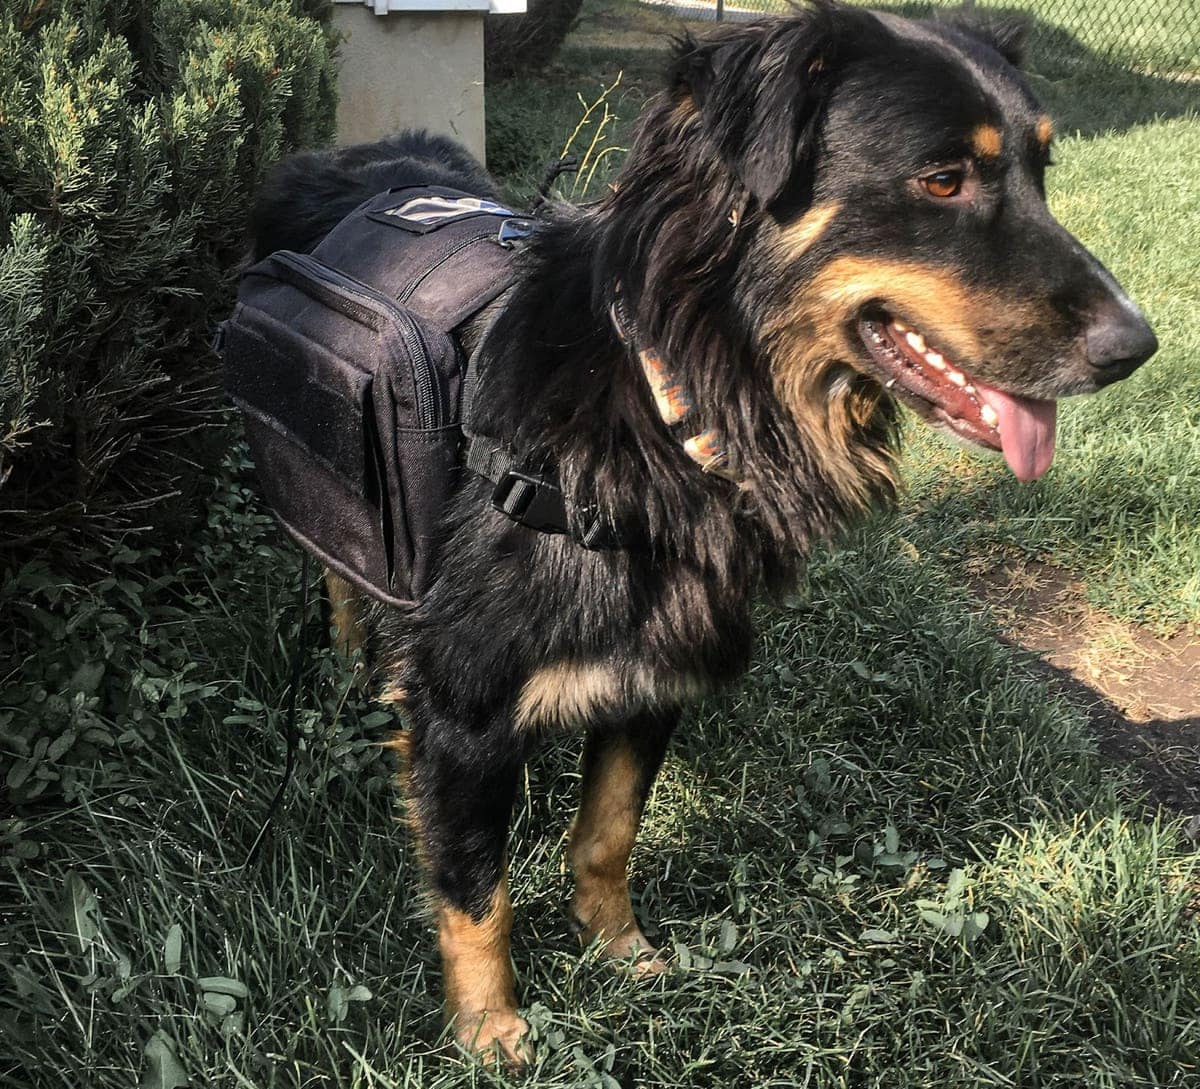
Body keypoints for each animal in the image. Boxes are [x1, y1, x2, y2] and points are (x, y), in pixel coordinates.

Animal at [248, 4, 1156, 1069]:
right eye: (943, 179)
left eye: (1043, 171)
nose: (1137, 348)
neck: (657, 407)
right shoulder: (463, 713)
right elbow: (476, 890)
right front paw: (491, 1029)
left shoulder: (658, 667)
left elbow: (607, 834)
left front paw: (619, 949)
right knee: (341, 583)